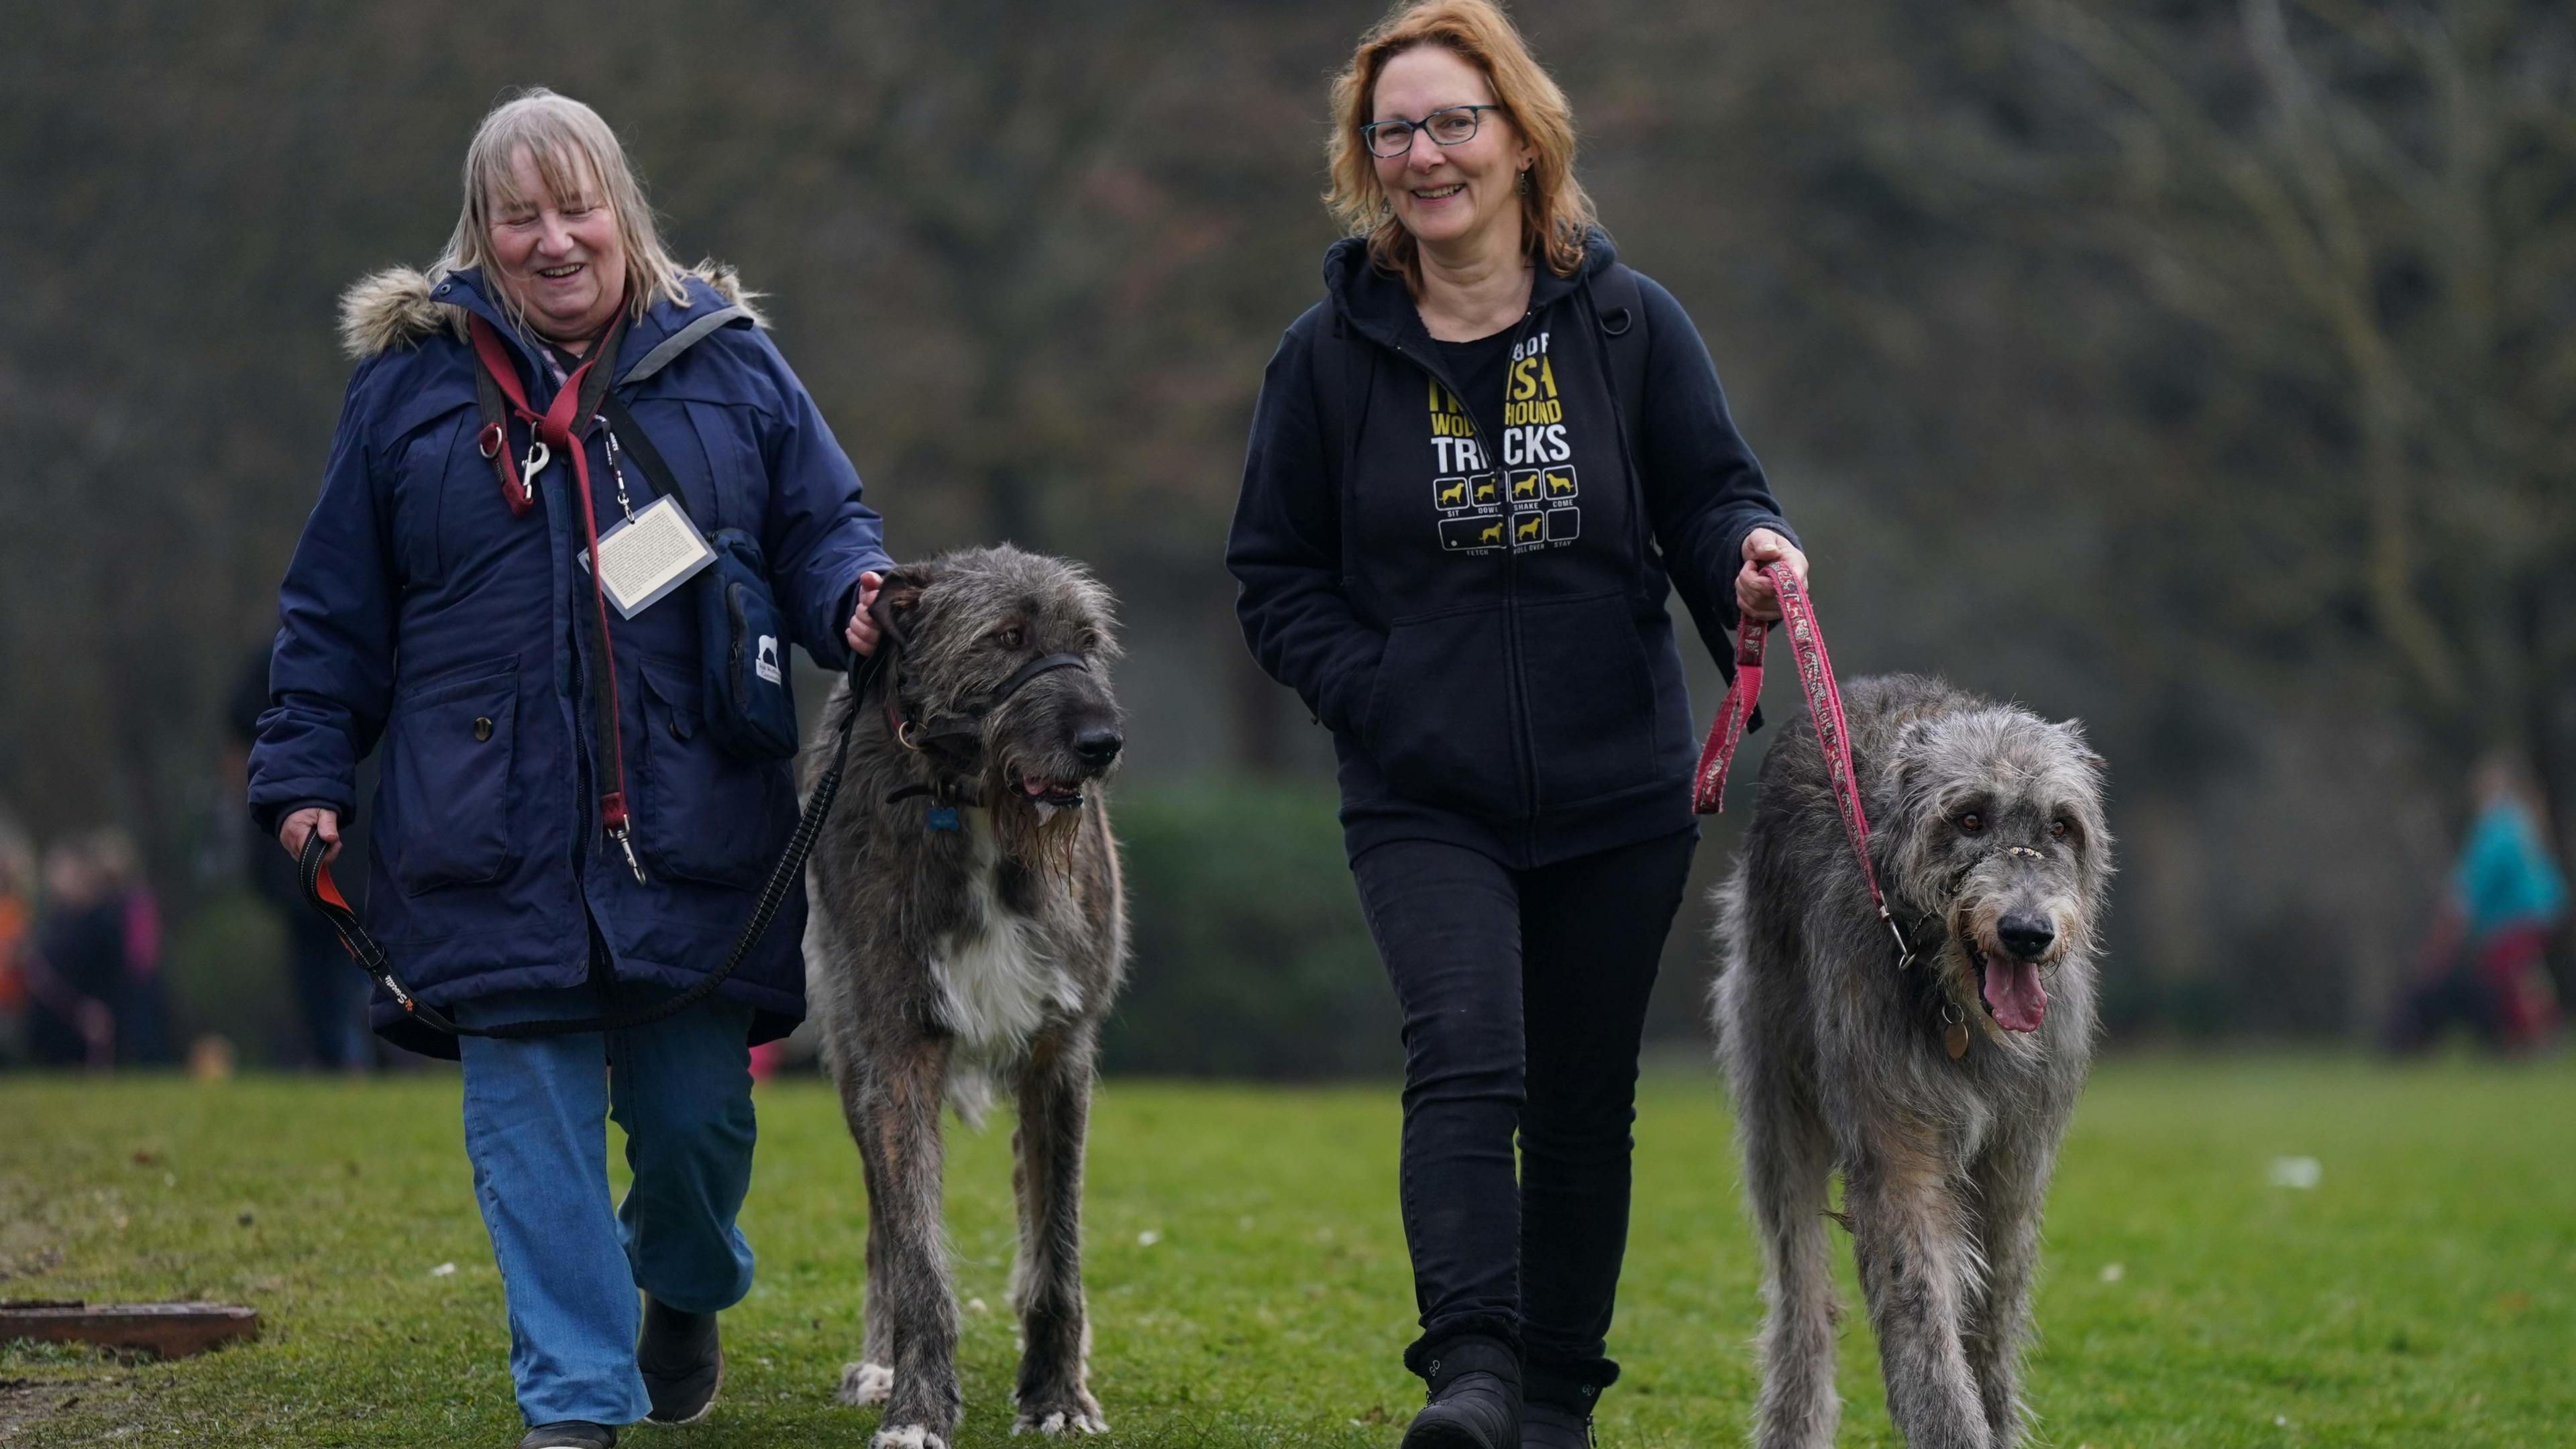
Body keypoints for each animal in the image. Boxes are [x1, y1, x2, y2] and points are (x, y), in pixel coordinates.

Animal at [804, 543, 1128, 1444]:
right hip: (849, 1058)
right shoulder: (897, 1052)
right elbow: (916, 1251)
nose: (1103, 744)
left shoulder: (1063, 1051)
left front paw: (1057, 1395)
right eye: (1006, 637)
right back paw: (880, 1363)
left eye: (1088, 643)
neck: (974, 809)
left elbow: (1057, 1246)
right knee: (882, 1223)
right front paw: (917, 1406)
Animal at [1710, 675, 2112, 1444]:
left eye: (2061, 826)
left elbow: (1993, 1310)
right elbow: (1920, 1307)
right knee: (1800, 1282)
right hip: (1774, 1079)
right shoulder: (1894, 1143)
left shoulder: (2018, 1158)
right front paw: (1953, 1427)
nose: (2026, 932)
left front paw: (1995, 1418)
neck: (1958, 1009)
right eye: (1970, 817)